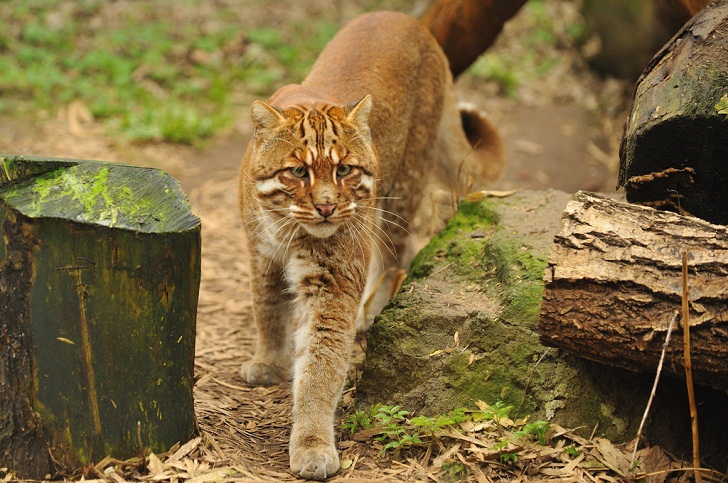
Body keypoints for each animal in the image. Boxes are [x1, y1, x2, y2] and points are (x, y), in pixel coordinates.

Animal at [237, 11, 500, 480]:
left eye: (344, 170)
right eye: (298, 173)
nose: (327, 207)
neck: (285, 228)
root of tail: (408, 20)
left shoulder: (332, 283)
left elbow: (320, 367)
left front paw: (312, 445)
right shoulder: (260, 254)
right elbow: (265, 308)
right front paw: (268, 361)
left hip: (402, 188)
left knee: (398, 257)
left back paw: (373, 311)